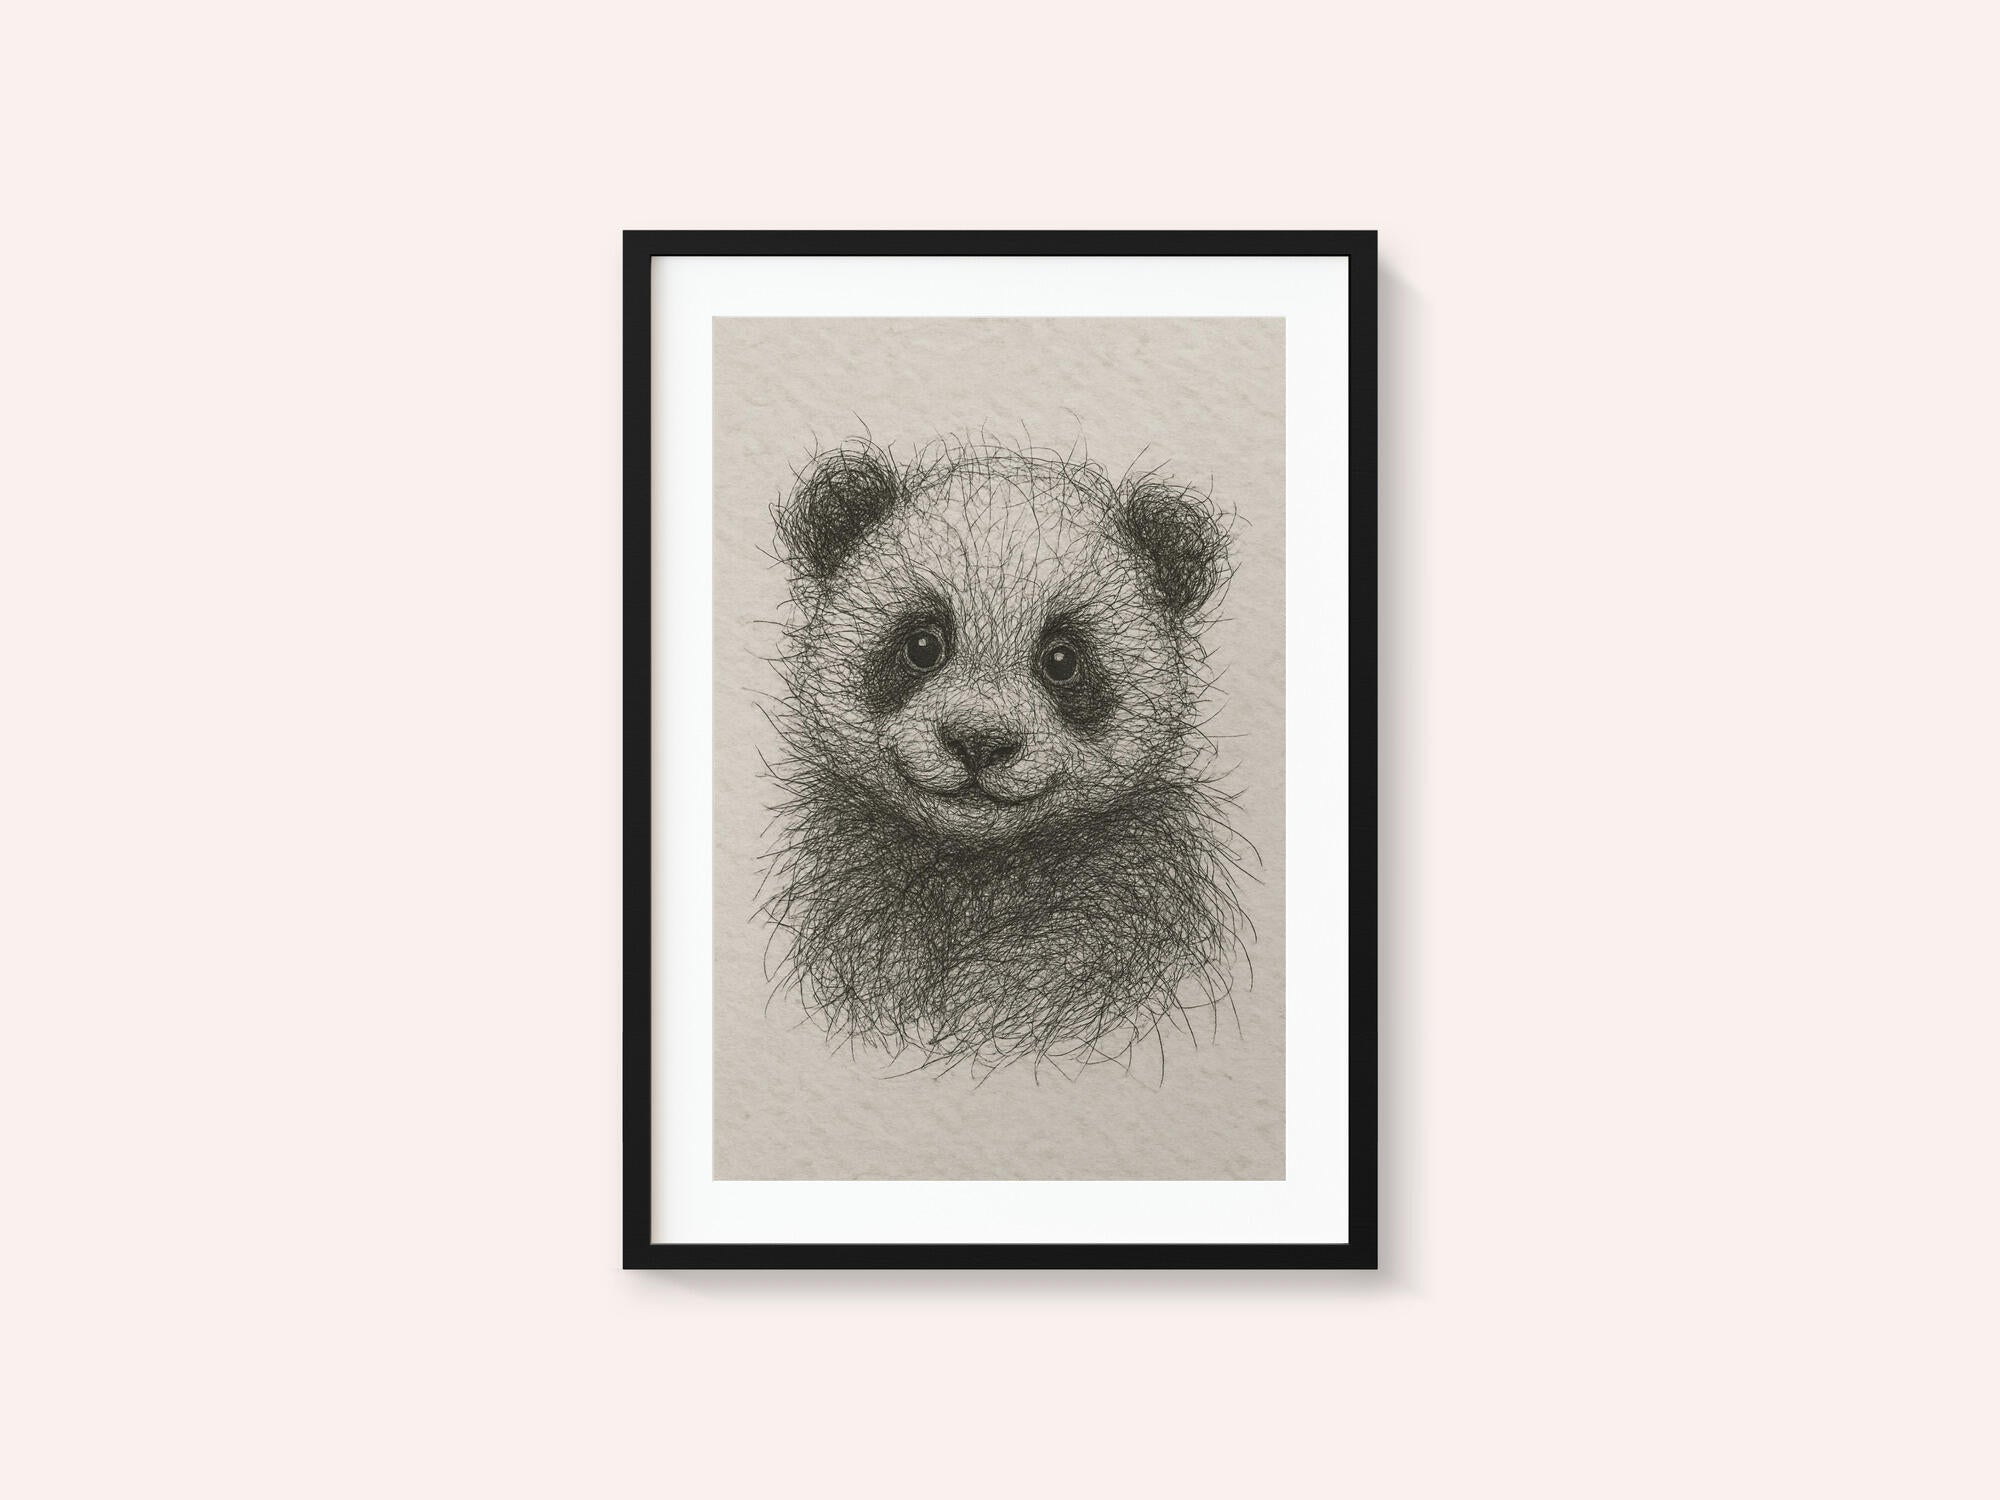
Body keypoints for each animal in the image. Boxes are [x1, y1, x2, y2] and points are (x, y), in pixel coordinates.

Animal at [760, 435, 1250, 1075]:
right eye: (923, 644)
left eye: (1063, 660)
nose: (979, 741)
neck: (978, 866)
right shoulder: (855, 886)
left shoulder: (1127, 900)